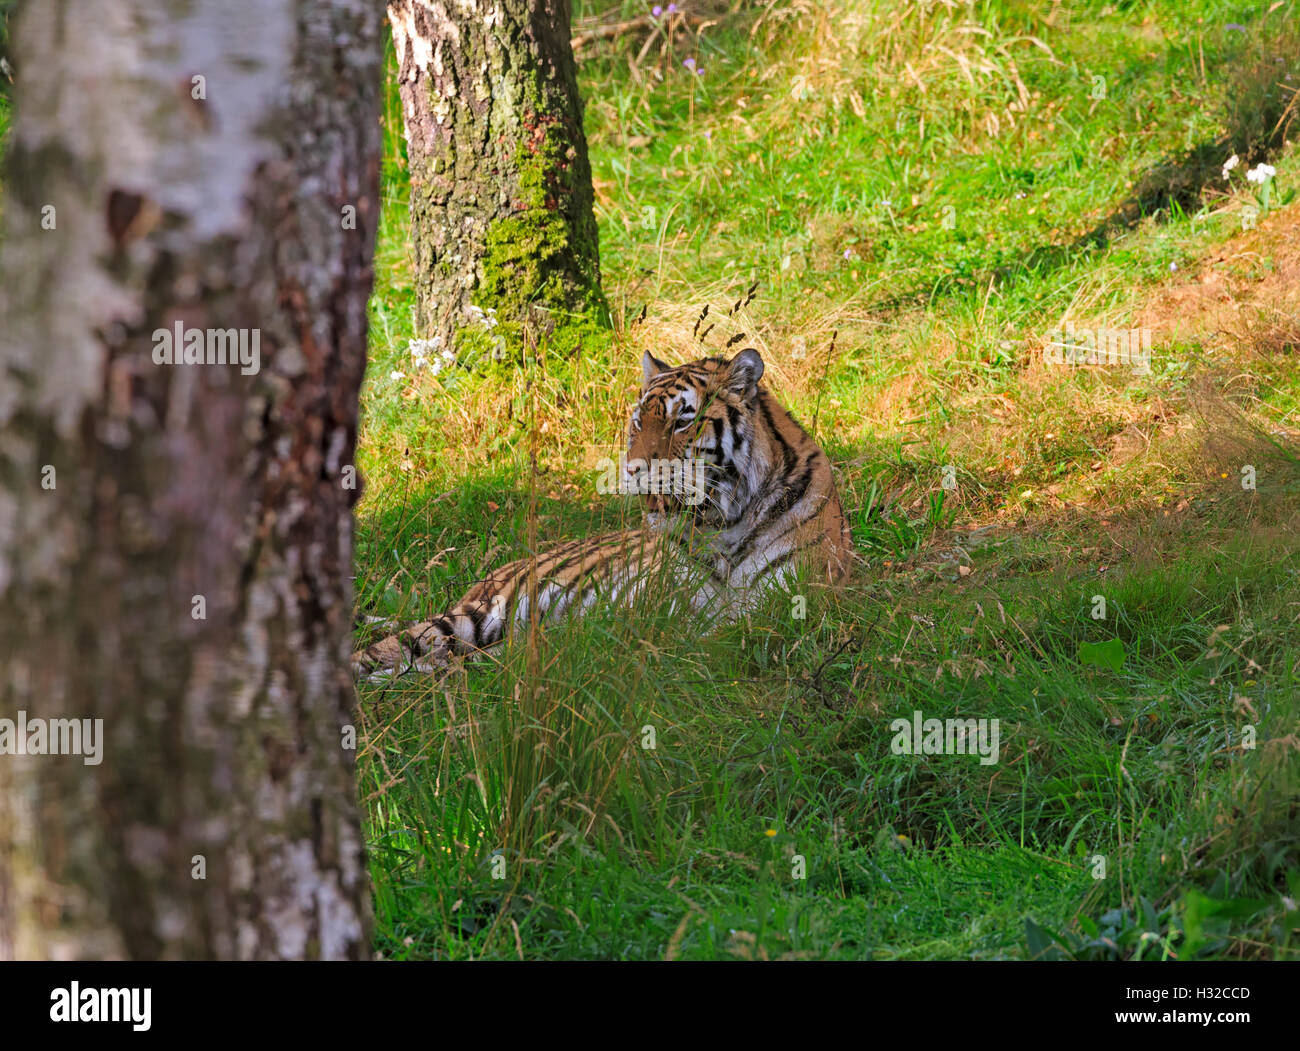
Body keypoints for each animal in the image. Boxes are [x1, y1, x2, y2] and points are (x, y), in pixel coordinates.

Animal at [351, 347, 854, 681]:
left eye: (683, 420)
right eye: (637, 421)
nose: (632, 469)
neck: (724, 521)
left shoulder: (793, 605)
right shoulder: (668, 613)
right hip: (465, 620)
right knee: (388, 654)